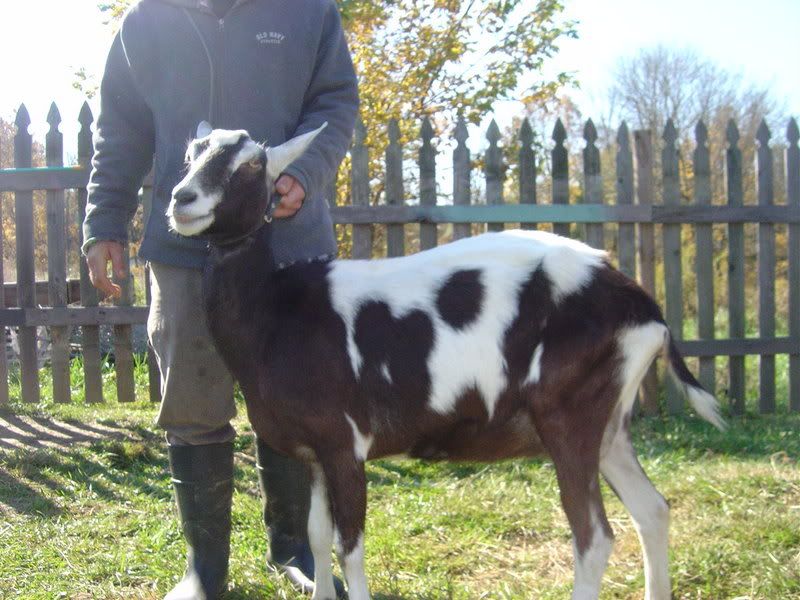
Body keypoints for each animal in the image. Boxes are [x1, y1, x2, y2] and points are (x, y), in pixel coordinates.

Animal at [168, 123, 725, 600]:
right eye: (190, 155)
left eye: (252, 165)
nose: (181, 199)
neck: (277, 311)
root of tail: (641, 304)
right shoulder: (315, 451)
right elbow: (318, 536)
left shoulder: (346, 443)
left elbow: (350, 548)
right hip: (609, 423)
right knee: (652, 510)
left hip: (570, 416)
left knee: (594, 537)